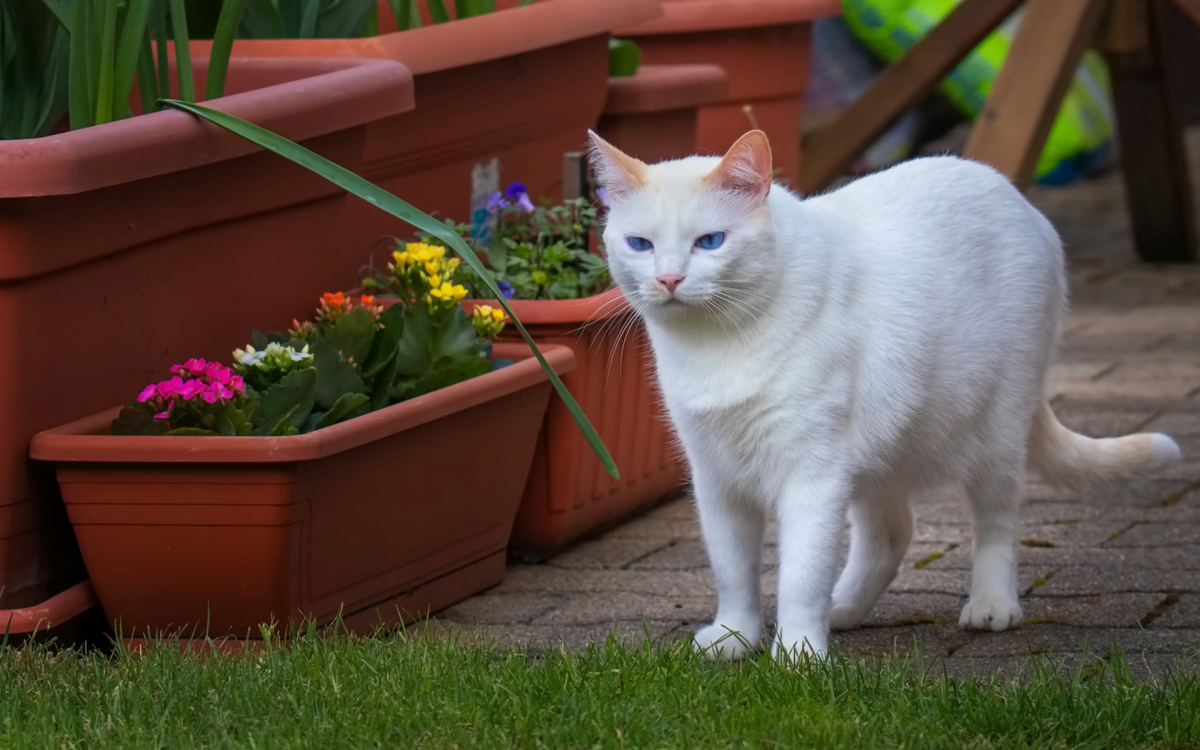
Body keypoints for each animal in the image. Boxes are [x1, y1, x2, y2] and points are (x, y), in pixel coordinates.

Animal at [588, 131, 1180, 657]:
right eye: (640, 244)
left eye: (709, 241)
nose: (668, 280)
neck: (717, 345)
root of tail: (1015, 197)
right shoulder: (717, 478)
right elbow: (732, 571)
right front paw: (736, 637)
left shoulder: (812, 477)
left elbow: (800, 574)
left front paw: (798, 653)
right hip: (881, 449)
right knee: (892, 535)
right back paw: (843, 609)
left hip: (995, 434)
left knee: (997, 521)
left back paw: (991, 605)